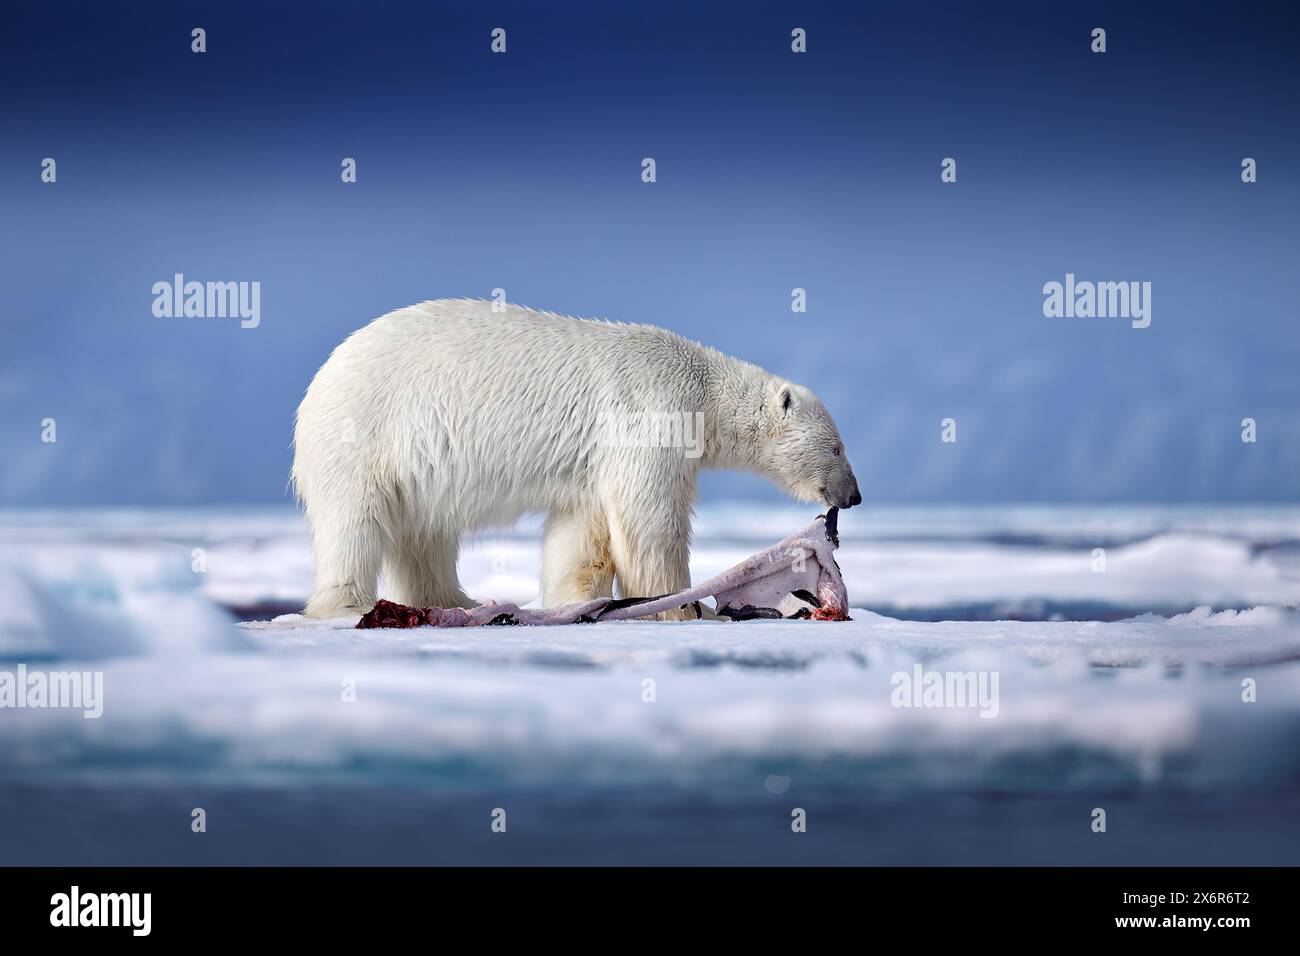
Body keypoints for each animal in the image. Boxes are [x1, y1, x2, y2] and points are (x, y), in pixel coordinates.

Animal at [291, 299, 860, 619]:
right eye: (837, 445)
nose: (853, 495)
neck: (700, 387)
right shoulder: (649, 413)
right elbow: (650, 521)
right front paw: (685, 605)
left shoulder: (593, 463)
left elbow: (580, 530)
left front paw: (575, 601)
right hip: (365, 434)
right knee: (355, 522)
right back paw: (351, 603)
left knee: (423, 534)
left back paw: (459, 601)